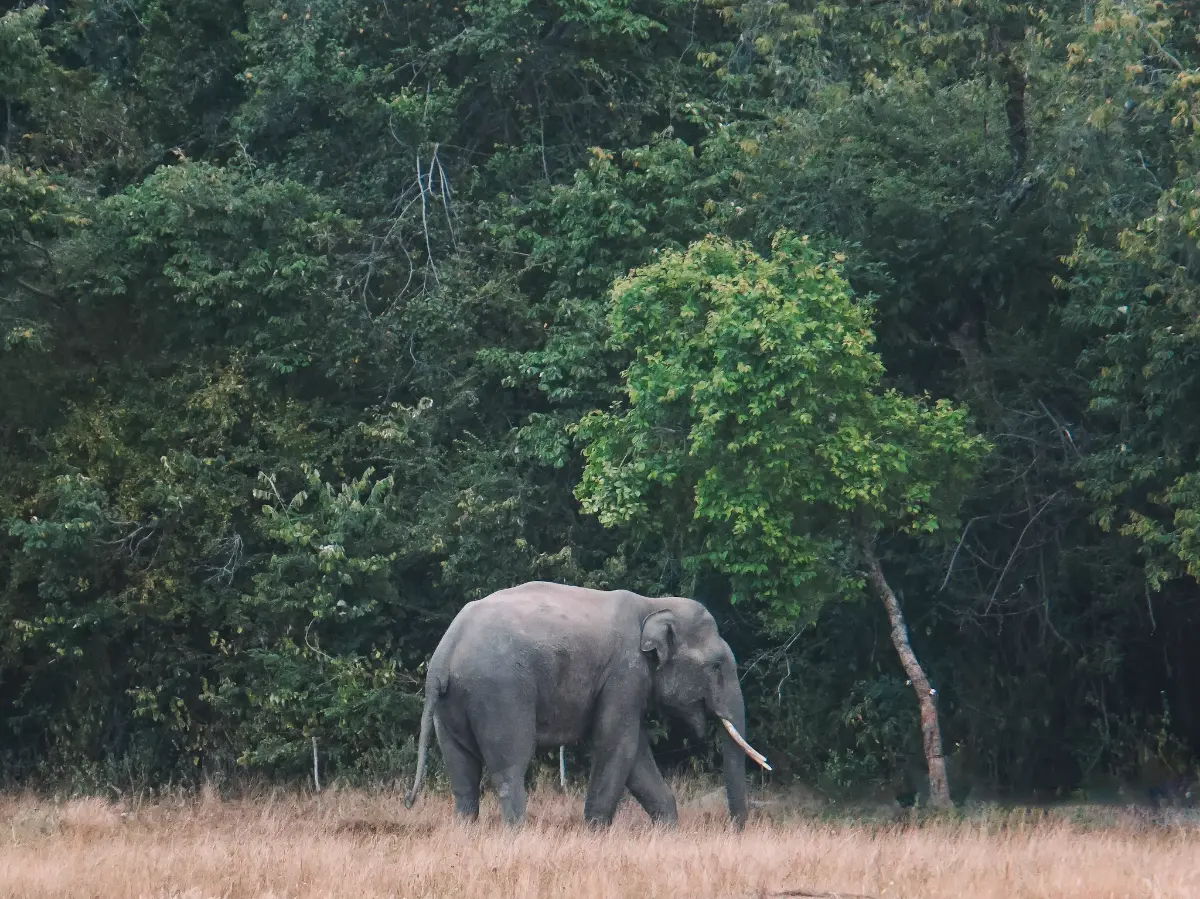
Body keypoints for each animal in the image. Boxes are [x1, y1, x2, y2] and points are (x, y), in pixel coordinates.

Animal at [403, 580, 770, 827]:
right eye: (716, 666)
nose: (735, 830)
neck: (653, 605)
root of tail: (444, 653)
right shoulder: (624, 672)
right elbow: (617, 743)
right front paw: (595, 833)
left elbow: (635, 751)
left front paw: (667, 831)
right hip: (499, 693)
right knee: (510, 767)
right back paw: (518, 835)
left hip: (451, 705)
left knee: (462, 774)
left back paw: (467, 832)